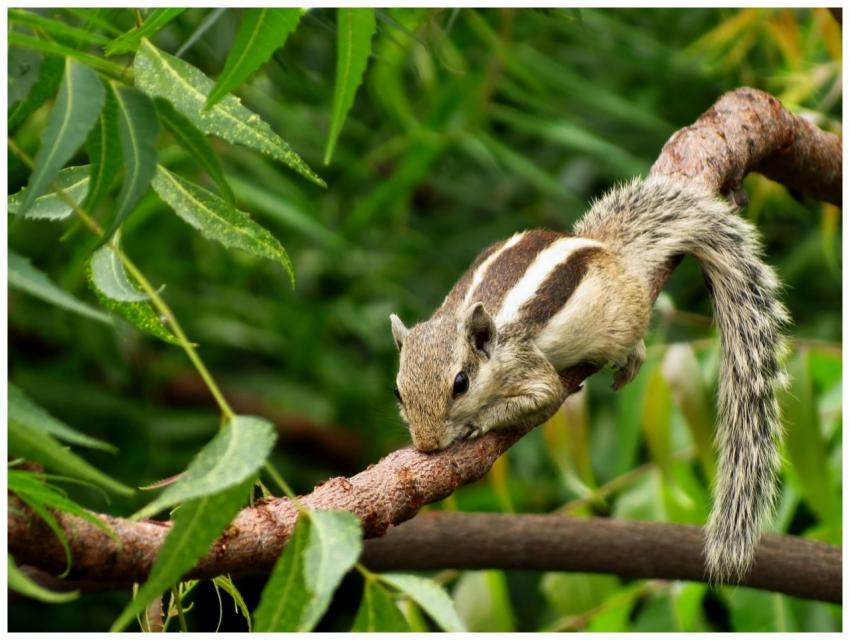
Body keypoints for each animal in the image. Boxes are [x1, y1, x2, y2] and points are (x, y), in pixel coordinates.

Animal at [389, 176, 789, 582]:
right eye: (398, 392)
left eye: (461, 384)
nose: (426, 444)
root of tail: (607, 247)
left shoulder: (526, 364)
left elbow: (544, 395)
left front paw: (479, 421)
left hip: (622, 317)